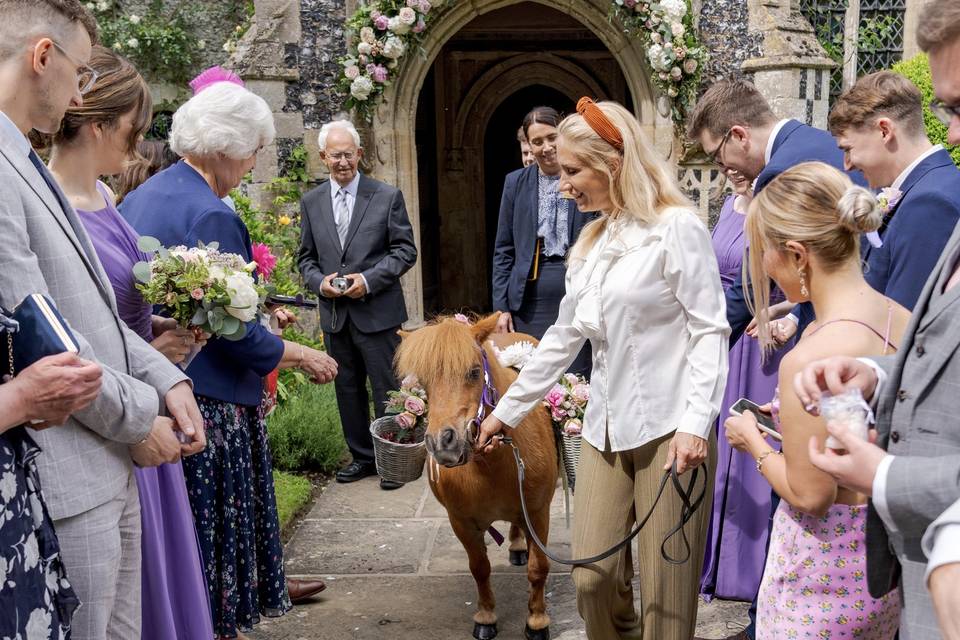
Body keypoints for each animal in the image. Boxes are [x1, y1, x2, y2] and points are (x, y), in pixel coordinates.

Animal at [396, 314, 560, 640]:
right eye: (423, 381)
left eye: (473, 372)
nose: (443, 443)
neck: (492, 466)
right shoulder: (461, 522)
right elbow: (479, 568)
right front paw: (486, 616)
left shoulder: (538, 512)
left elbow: (538, 568)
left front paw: (537, 621)